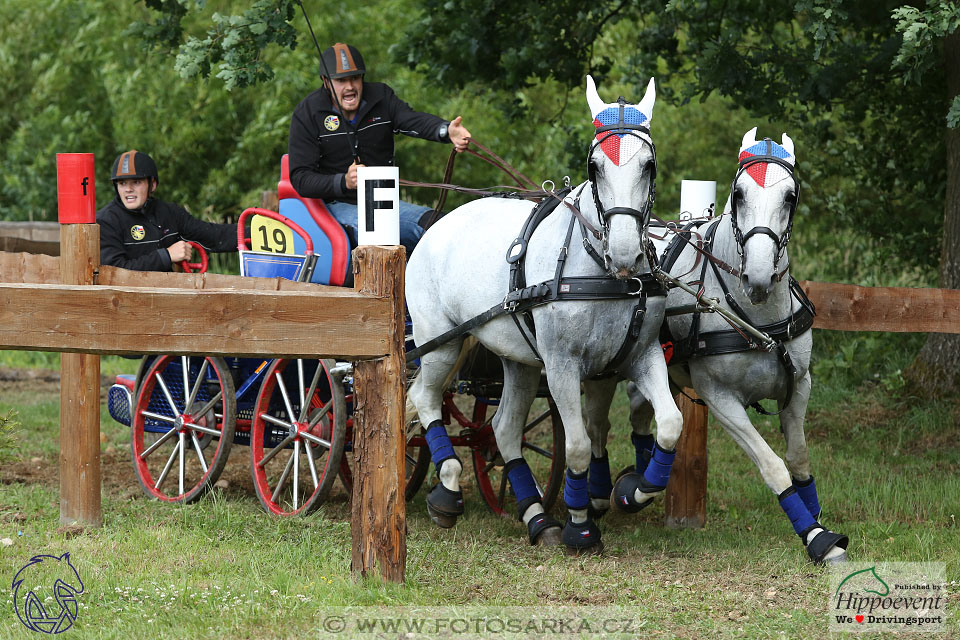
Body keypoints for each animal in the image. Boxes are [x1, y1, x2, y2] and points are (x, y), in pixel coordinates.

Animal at [404, 76, 684, 556]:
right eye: (595, 166)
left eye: (649, 165)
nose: (625, 253)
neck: (600, 272)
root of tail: (435, 223)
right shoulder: (561, 366)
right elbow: (577, 445)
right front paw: (580, 528)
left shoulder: (641, 356)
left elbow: (669, 424)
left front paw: (634, 491)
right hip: (441, 343)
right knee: (424, 397)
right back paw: (448, 490)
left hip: (515, 360)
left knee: (503, 429)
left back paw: (536, 516)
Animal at [584, 130, 848, 564]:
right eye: (739, 194)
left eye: (790, 196)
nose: (757, 277)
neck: (757, 318)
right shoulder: (721, 399)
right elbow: (773, 465)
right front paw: (814, 536)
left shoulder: (800, 387)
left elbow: (799, 459)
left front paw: (816, 520)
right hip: (605, 370)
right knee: (596, 428)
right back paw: (601, 494)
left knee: (640, 416)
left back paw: (638, 478)